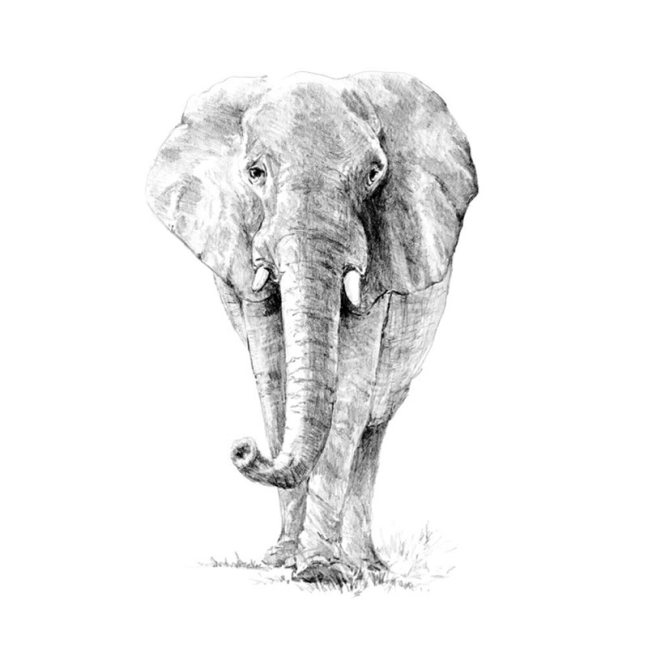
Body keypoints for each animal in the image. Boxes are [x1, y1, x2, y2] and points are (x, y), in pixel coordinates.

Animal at [146, 72, 477, 584]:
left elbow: (351, 388)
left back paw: (367, 567)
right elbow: (273, 377)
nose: (241, 448)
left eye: (374, 174)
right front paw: (283, 560)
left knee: (373, 424)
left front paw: (321, 571)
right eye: (255, 173)